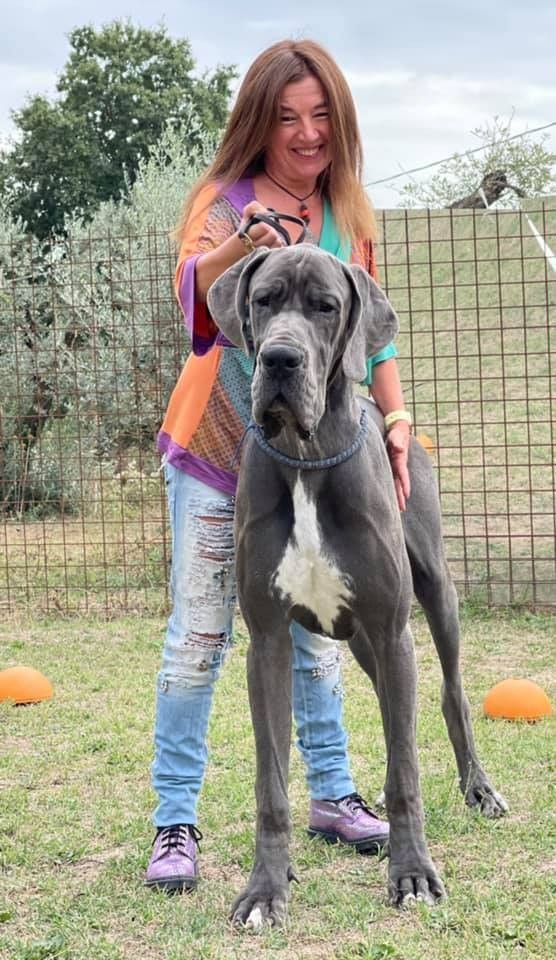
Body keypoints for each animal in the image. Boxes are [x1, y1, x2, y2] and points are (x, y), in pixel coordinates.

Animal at [207, 244, 507, 928]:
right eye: (263, 300)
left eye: (325, 306)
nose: (280, 359)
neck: (306, 454)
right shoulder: (268, 641)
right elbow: (272, 781)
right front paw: (266, 888)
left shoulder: (395, 630)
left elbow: (405, 773)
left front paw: (413, 873)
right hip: (365, 642)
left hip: (430, 601)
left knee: (449, 693)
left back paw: (478, 788)